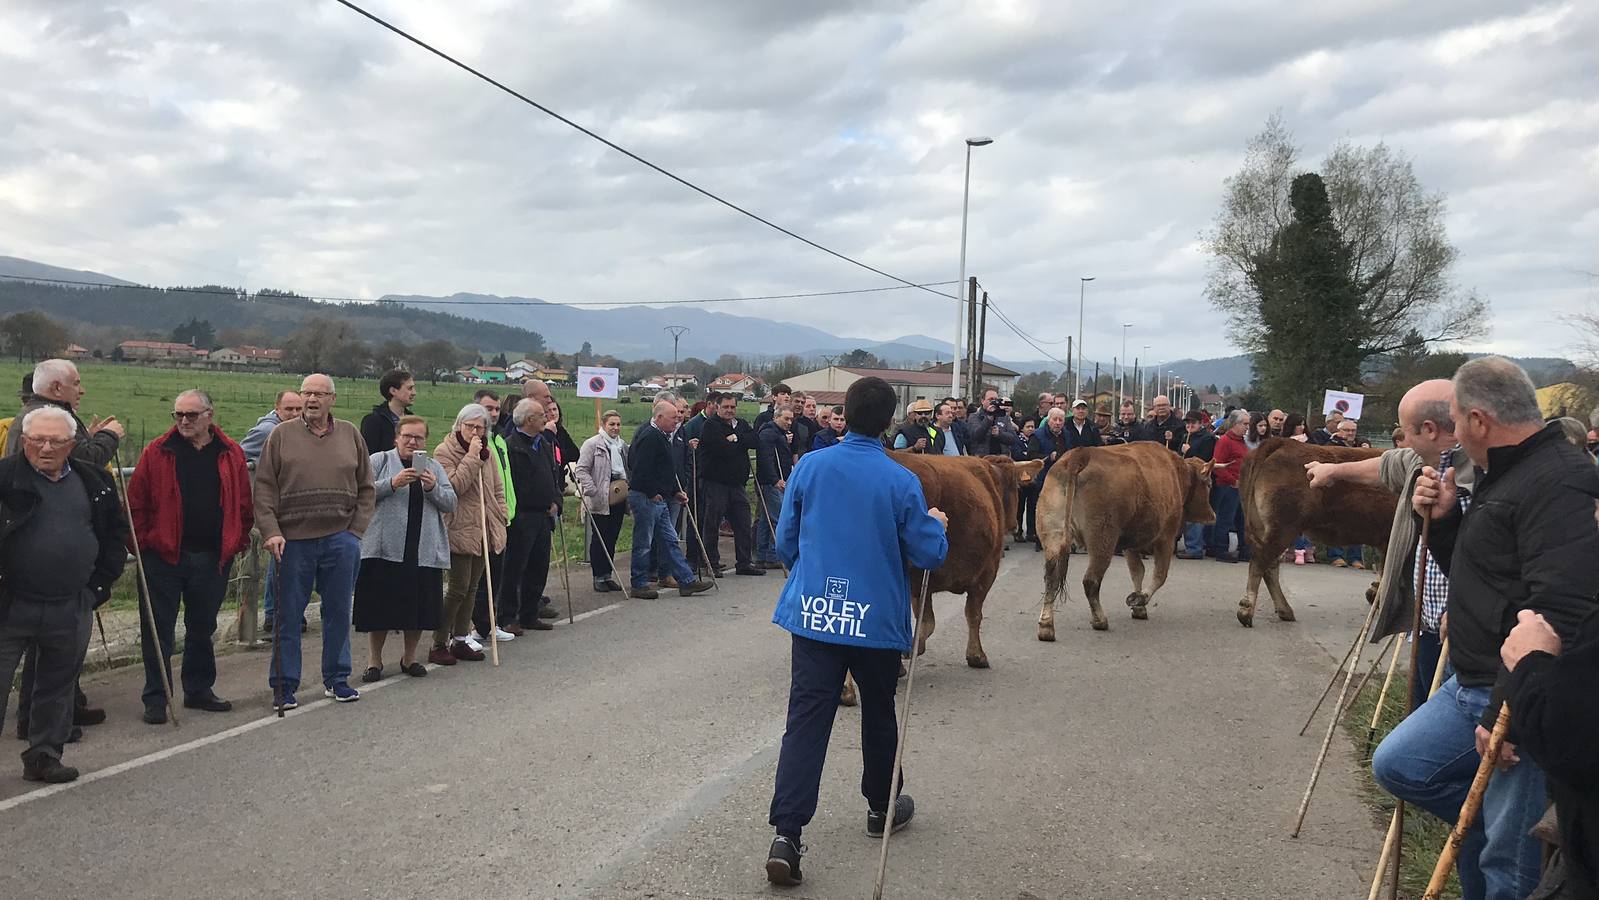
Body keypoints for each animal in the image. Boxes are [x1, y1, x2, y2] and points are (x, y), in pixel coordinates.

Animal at [1036, 444, 1208, 633]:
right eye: (1209, 483)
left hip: (1053, 535)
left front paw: (1139, 607)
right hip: (1103, 540)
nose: (1212, 515)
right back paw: (1100, 620)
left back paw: (1046, 626)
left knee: (1051, 578)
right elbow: (1159, 575)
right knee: (1090, 581)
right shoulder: (1166, 538)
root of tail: (1081, 454)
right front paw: (1140, 599)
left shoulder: (1130, 545)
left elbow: (1137, 572)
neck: (1175, 471)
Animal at [1228, 441, 1394, 629]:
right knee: (1260, 562)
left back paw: (1285, 611)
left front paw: (1374, 595)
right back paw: (1247, 611)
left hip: (1267, 527)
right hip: (1283, 528)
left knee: (1270, 566)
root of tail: (1283, 442)